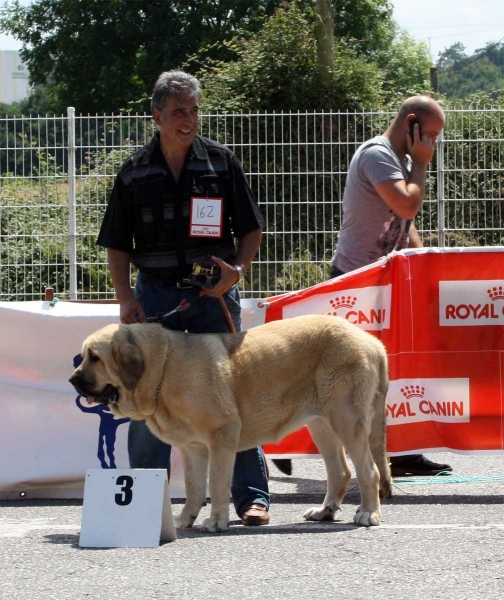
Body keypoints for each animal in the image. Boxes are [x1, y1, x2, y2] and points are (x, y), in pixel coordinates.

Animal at [69, 314, 392, 528]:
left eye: (95, 357)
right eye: (84, 356)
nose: (72, 380)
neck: (163, 367)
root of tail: (372, 341)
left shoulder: (222, 436)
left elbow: (217, 483)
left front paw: (216, 521)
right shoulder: (193, 448)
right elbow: (194, 487)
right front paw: (184, 521)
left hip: (346, 420)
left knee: (369, 470)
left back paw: (368, 513)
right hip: (322, 424)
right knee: (341, 472)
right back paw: (325, 512)